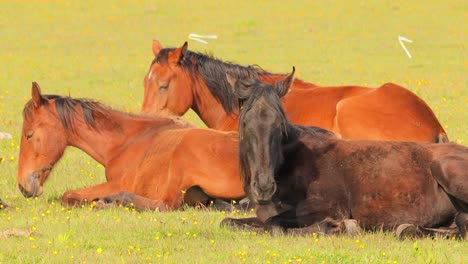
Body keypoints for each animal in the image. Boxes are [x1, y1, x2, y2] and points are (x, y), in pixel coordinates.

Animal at [17, 82, 245, 210]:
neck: (128, 140)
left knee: (165, 205)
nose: (22, 186)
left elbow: (68, 196)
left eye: (29, 135)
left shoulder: (119, 183)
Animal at [222, 68, 468, 239]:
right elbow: (230, 222)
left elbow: (274, 225)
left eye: (279, 125)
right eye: (244, 124)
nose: (264, 186)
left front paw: (340, 227)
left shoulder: (328, 206)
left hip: (442, 168)